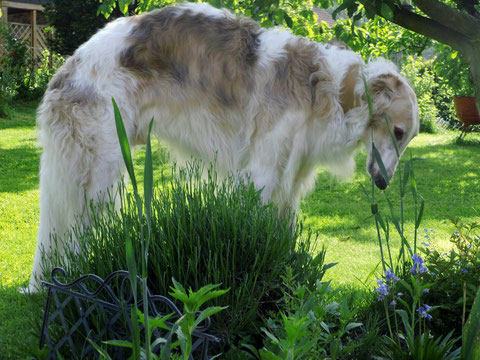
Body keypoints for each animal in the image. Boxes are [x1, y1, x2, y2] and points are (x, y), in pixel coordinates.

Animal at [26, 2, 418, 292]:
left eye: (409, 137)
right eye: (397, 131)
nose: (384, 183)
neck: (329, 86)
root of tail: (67, 70)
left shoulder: (291, 176)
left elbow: (285, 235)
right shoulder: (262, 170)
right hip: (100, 169)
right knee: (78, 230)